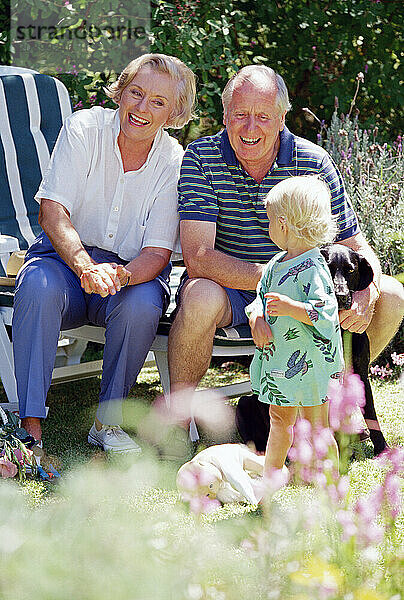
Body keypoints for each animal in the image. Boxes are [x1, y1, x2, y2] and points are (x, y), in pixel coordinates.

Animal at [237, 243, 388, 454]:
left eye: (351, 270)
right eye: (328, 268)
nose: (341, 297)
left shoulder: (360, 374)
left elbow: (372, 415)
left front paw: (383, 448)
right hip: (243, 404)